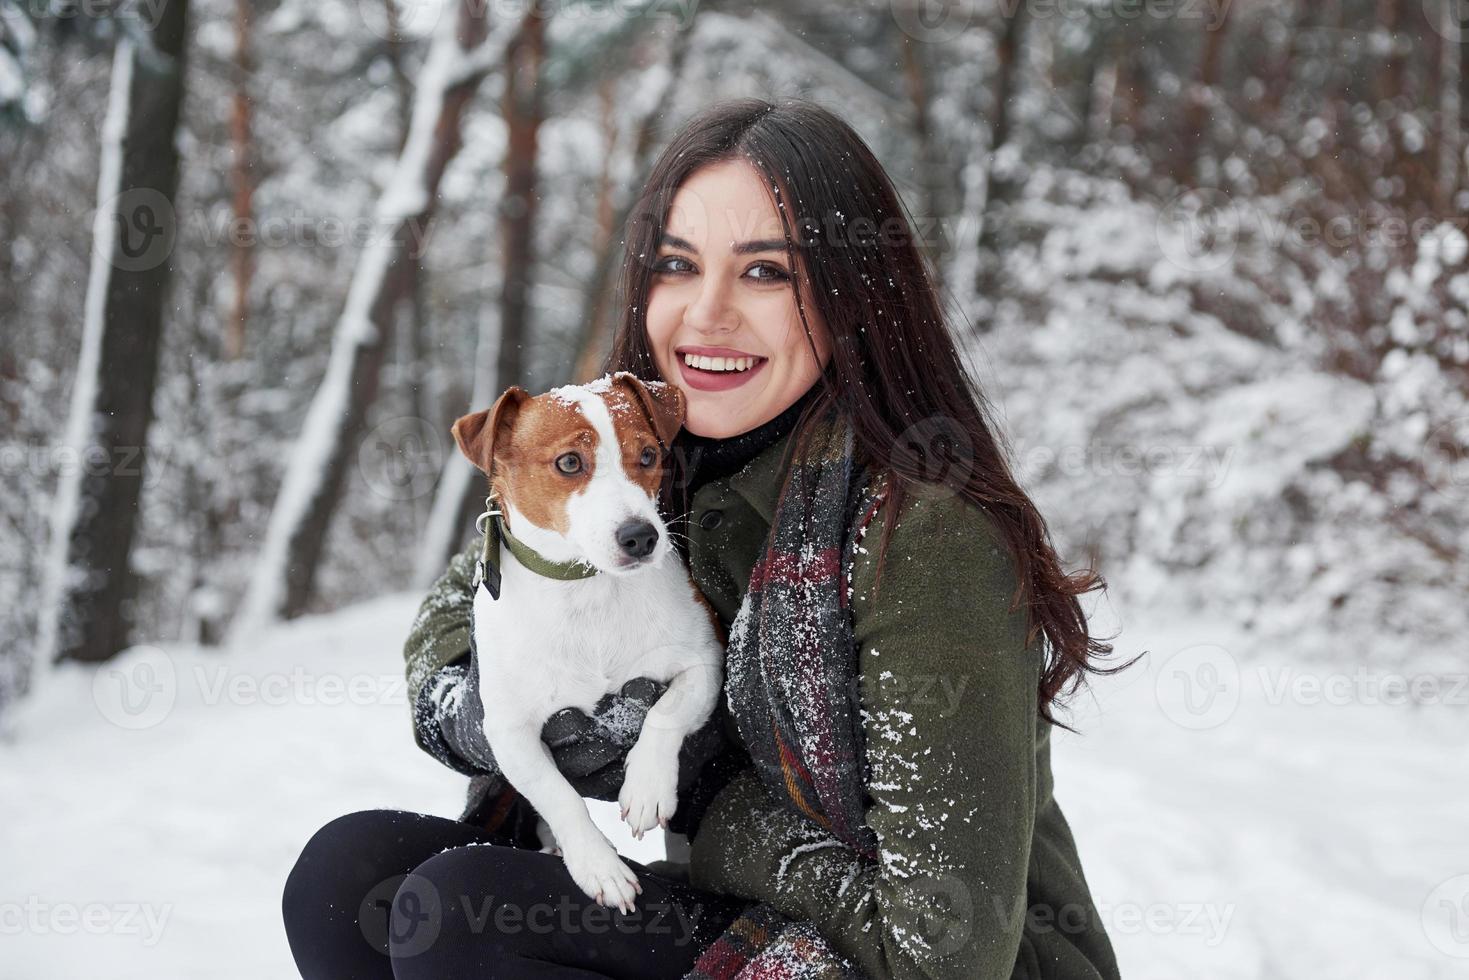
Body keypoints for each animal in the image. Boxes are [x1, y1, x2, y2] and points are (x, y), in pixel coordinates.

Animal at [446, 370, 722, 910]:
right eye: (570, 462)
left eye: (648, 455)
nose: (641, 536)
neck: (588, 590)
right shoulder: (508, 731)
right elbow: (559, 796)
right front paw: (599, 867)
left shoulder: (705, 660)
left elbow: (666, 711)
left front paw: (646, 787)